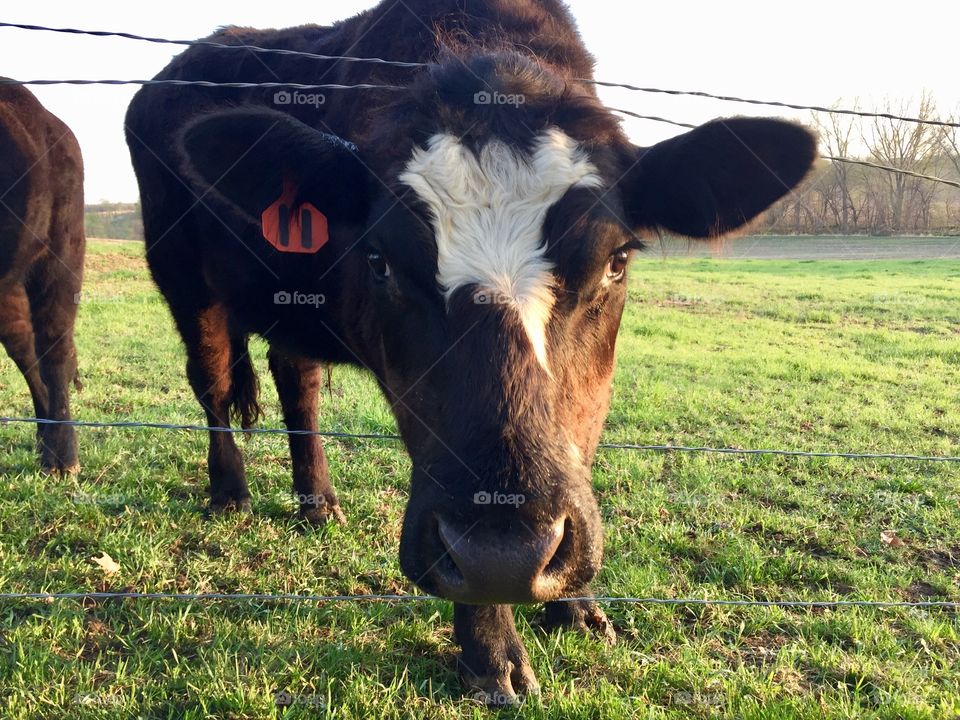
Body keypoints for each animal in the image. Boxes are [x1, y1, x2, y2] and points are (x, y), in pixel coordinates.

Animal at [124, 0, 816, 700]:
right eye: (379, 260)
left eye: (617, 260)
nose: (505, 554)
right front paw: (489, 650)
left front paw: (576, 605)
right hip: (182, 277)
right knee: (212, 381)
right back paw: (230, 491)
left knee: (298, 378)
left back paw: (319, 505)